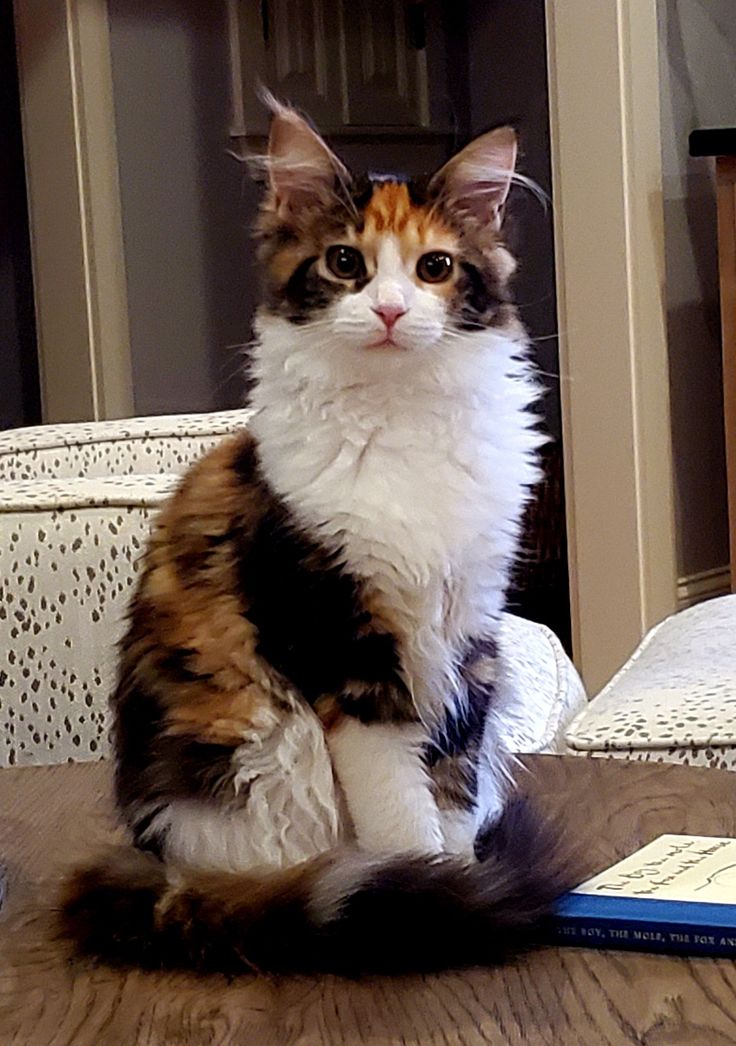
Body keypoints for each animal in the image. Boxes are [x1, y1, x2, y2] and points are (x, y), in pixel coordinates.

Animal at [61, 99, 568, 979]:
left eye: (435, 267)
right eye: (344, 262)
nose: (392, 311)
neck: (402, 420)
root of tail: (166, 868)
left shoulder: (467, 633)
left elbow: (454, 792)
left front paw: (459, 882)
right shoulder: (346, 653)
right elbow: (401, 813)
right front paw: (435, 898)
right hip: (264, 765)